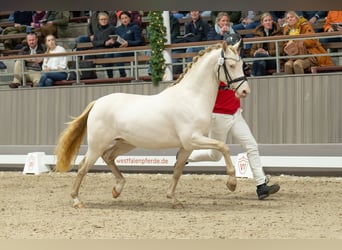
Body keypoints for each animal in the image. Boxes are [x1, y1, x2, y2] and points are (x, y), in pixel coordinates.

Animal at [54, 41, 250, 209]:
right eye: (231, 66)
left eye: (242, 64)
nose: (245, 91)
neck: (191, 97)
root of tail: (97, 103)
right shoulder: (192, 139)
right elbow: (223, 146)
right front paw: (232, 183)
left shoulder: (187, 146)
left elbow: (178, 170)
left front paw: (173, 199)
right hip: (97, 144)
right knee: (83, 167)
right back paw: (77, 200)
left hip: (125, 143)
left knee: (108, 157)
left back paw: (117, 189)